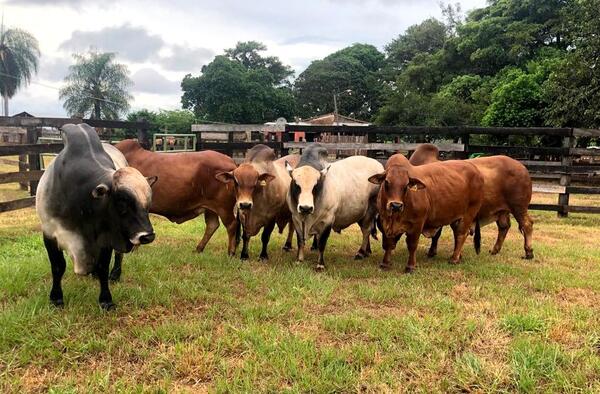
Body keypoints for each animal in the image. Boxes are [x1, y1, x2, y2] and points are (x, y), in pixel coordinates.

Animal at [34, 124, 157, 310]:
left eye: (148, 203)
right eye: (121, 201)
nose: (147, 236)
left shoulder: (106, 238)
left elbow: (103, 267)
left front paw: (106, 300)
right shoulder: (49, 233)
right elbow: (58, 266)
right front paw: (56, 298)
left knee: (118, 256)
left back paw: (115, 274)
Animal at [408, 143, 536, 260]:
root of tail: (522, 167)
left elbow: (440, 234)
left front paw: (435, 252)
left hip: (518, 207)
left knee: (527, 224)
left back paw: (528, 252)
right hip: (503, 210)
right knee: (504, 226)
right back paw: (495, 250)